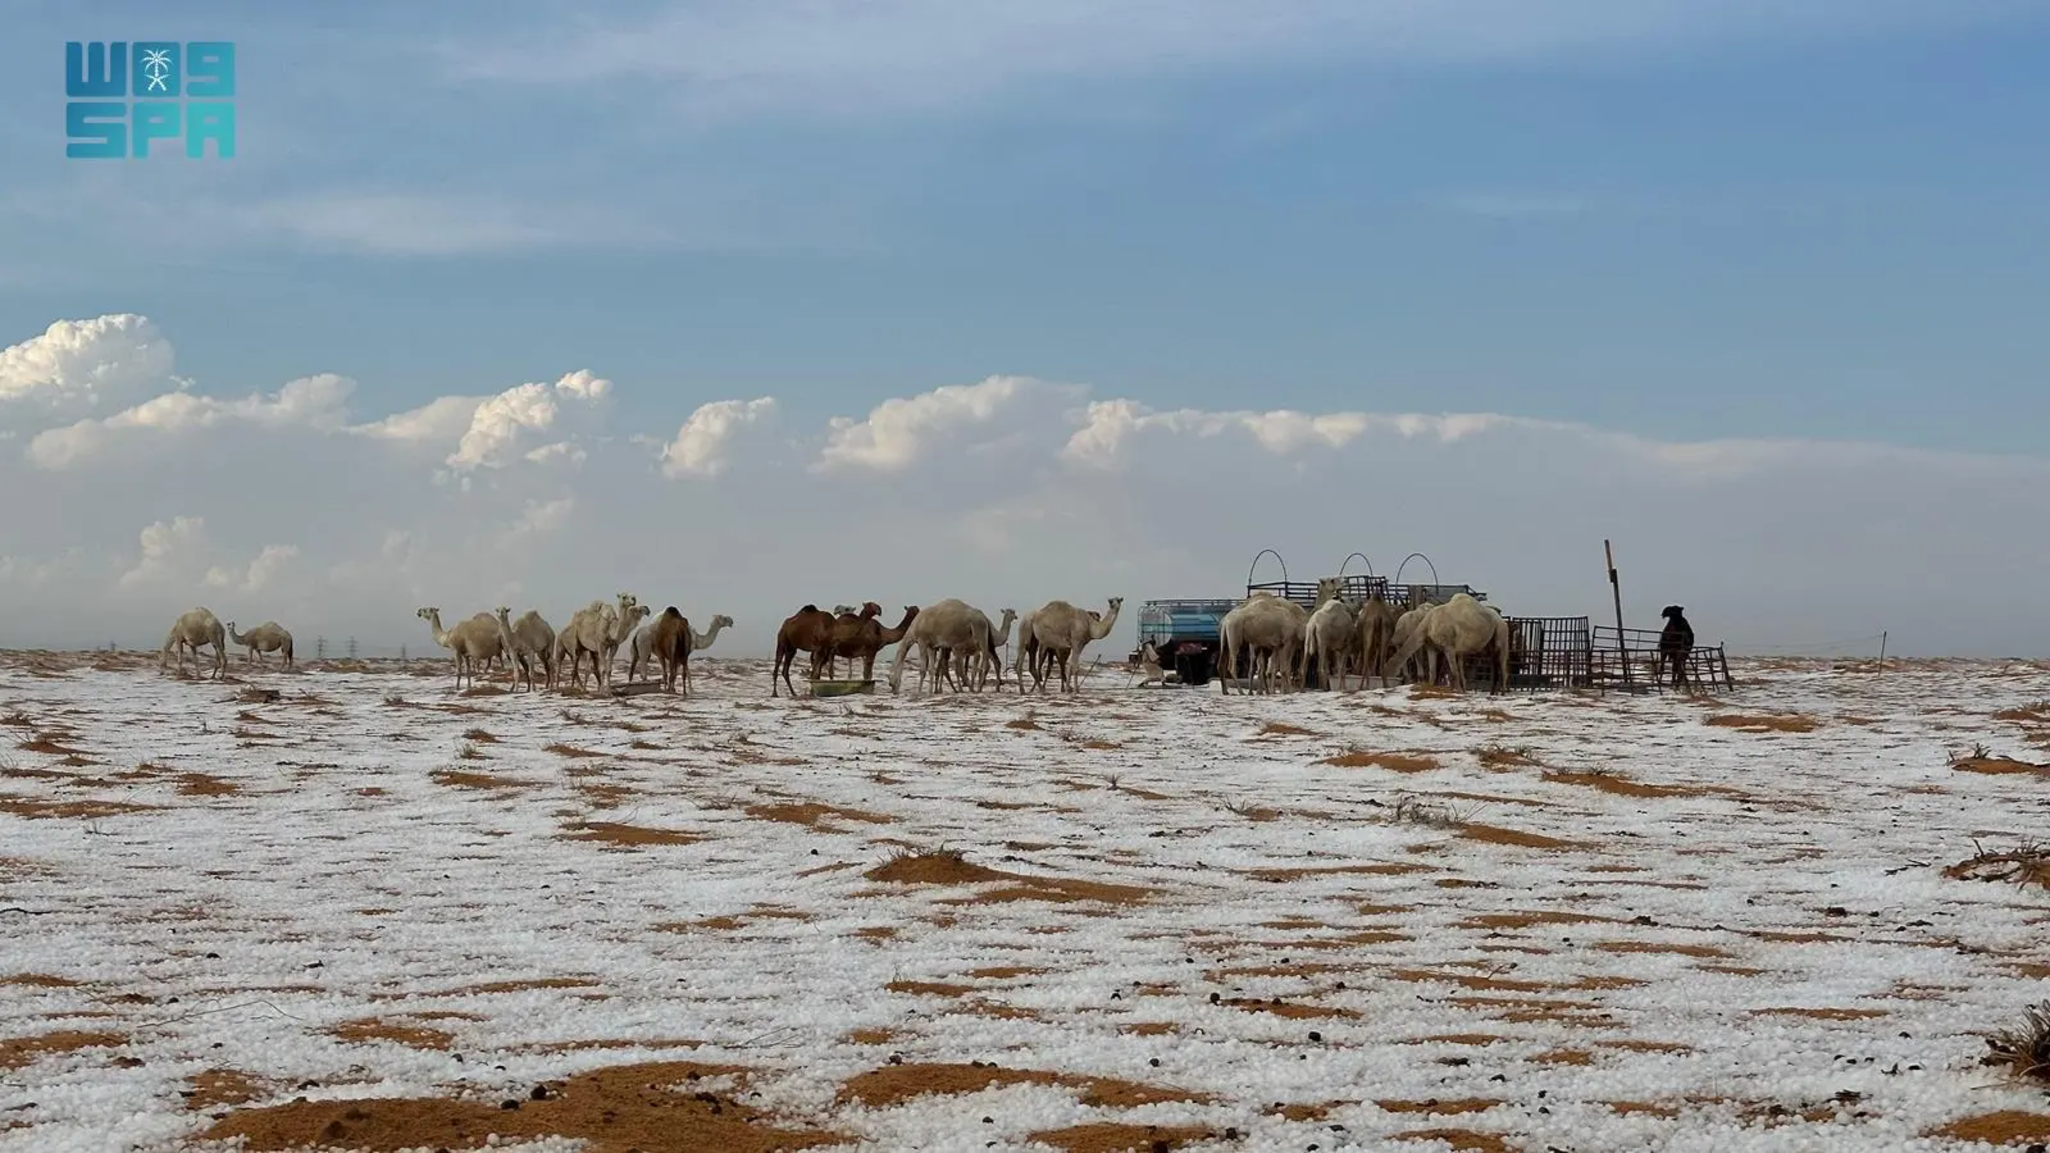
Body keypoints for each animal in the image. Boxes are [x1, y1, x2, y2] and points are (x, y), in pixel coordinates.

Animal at [1385, 590, 1517, 689]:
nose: (1386, 685)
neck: (1428, 623)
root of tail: (1502, 620)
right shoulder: (1431, 647)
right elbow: (1432, 672)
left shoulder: (1449, 646)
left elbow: (1454, 673)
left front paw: (1459, 691)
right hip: (1489, 644)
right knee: (1494, 664)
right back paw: (1492, 693)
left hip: (1502, 632)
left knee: (1502, 664)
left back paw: (1502, 693)